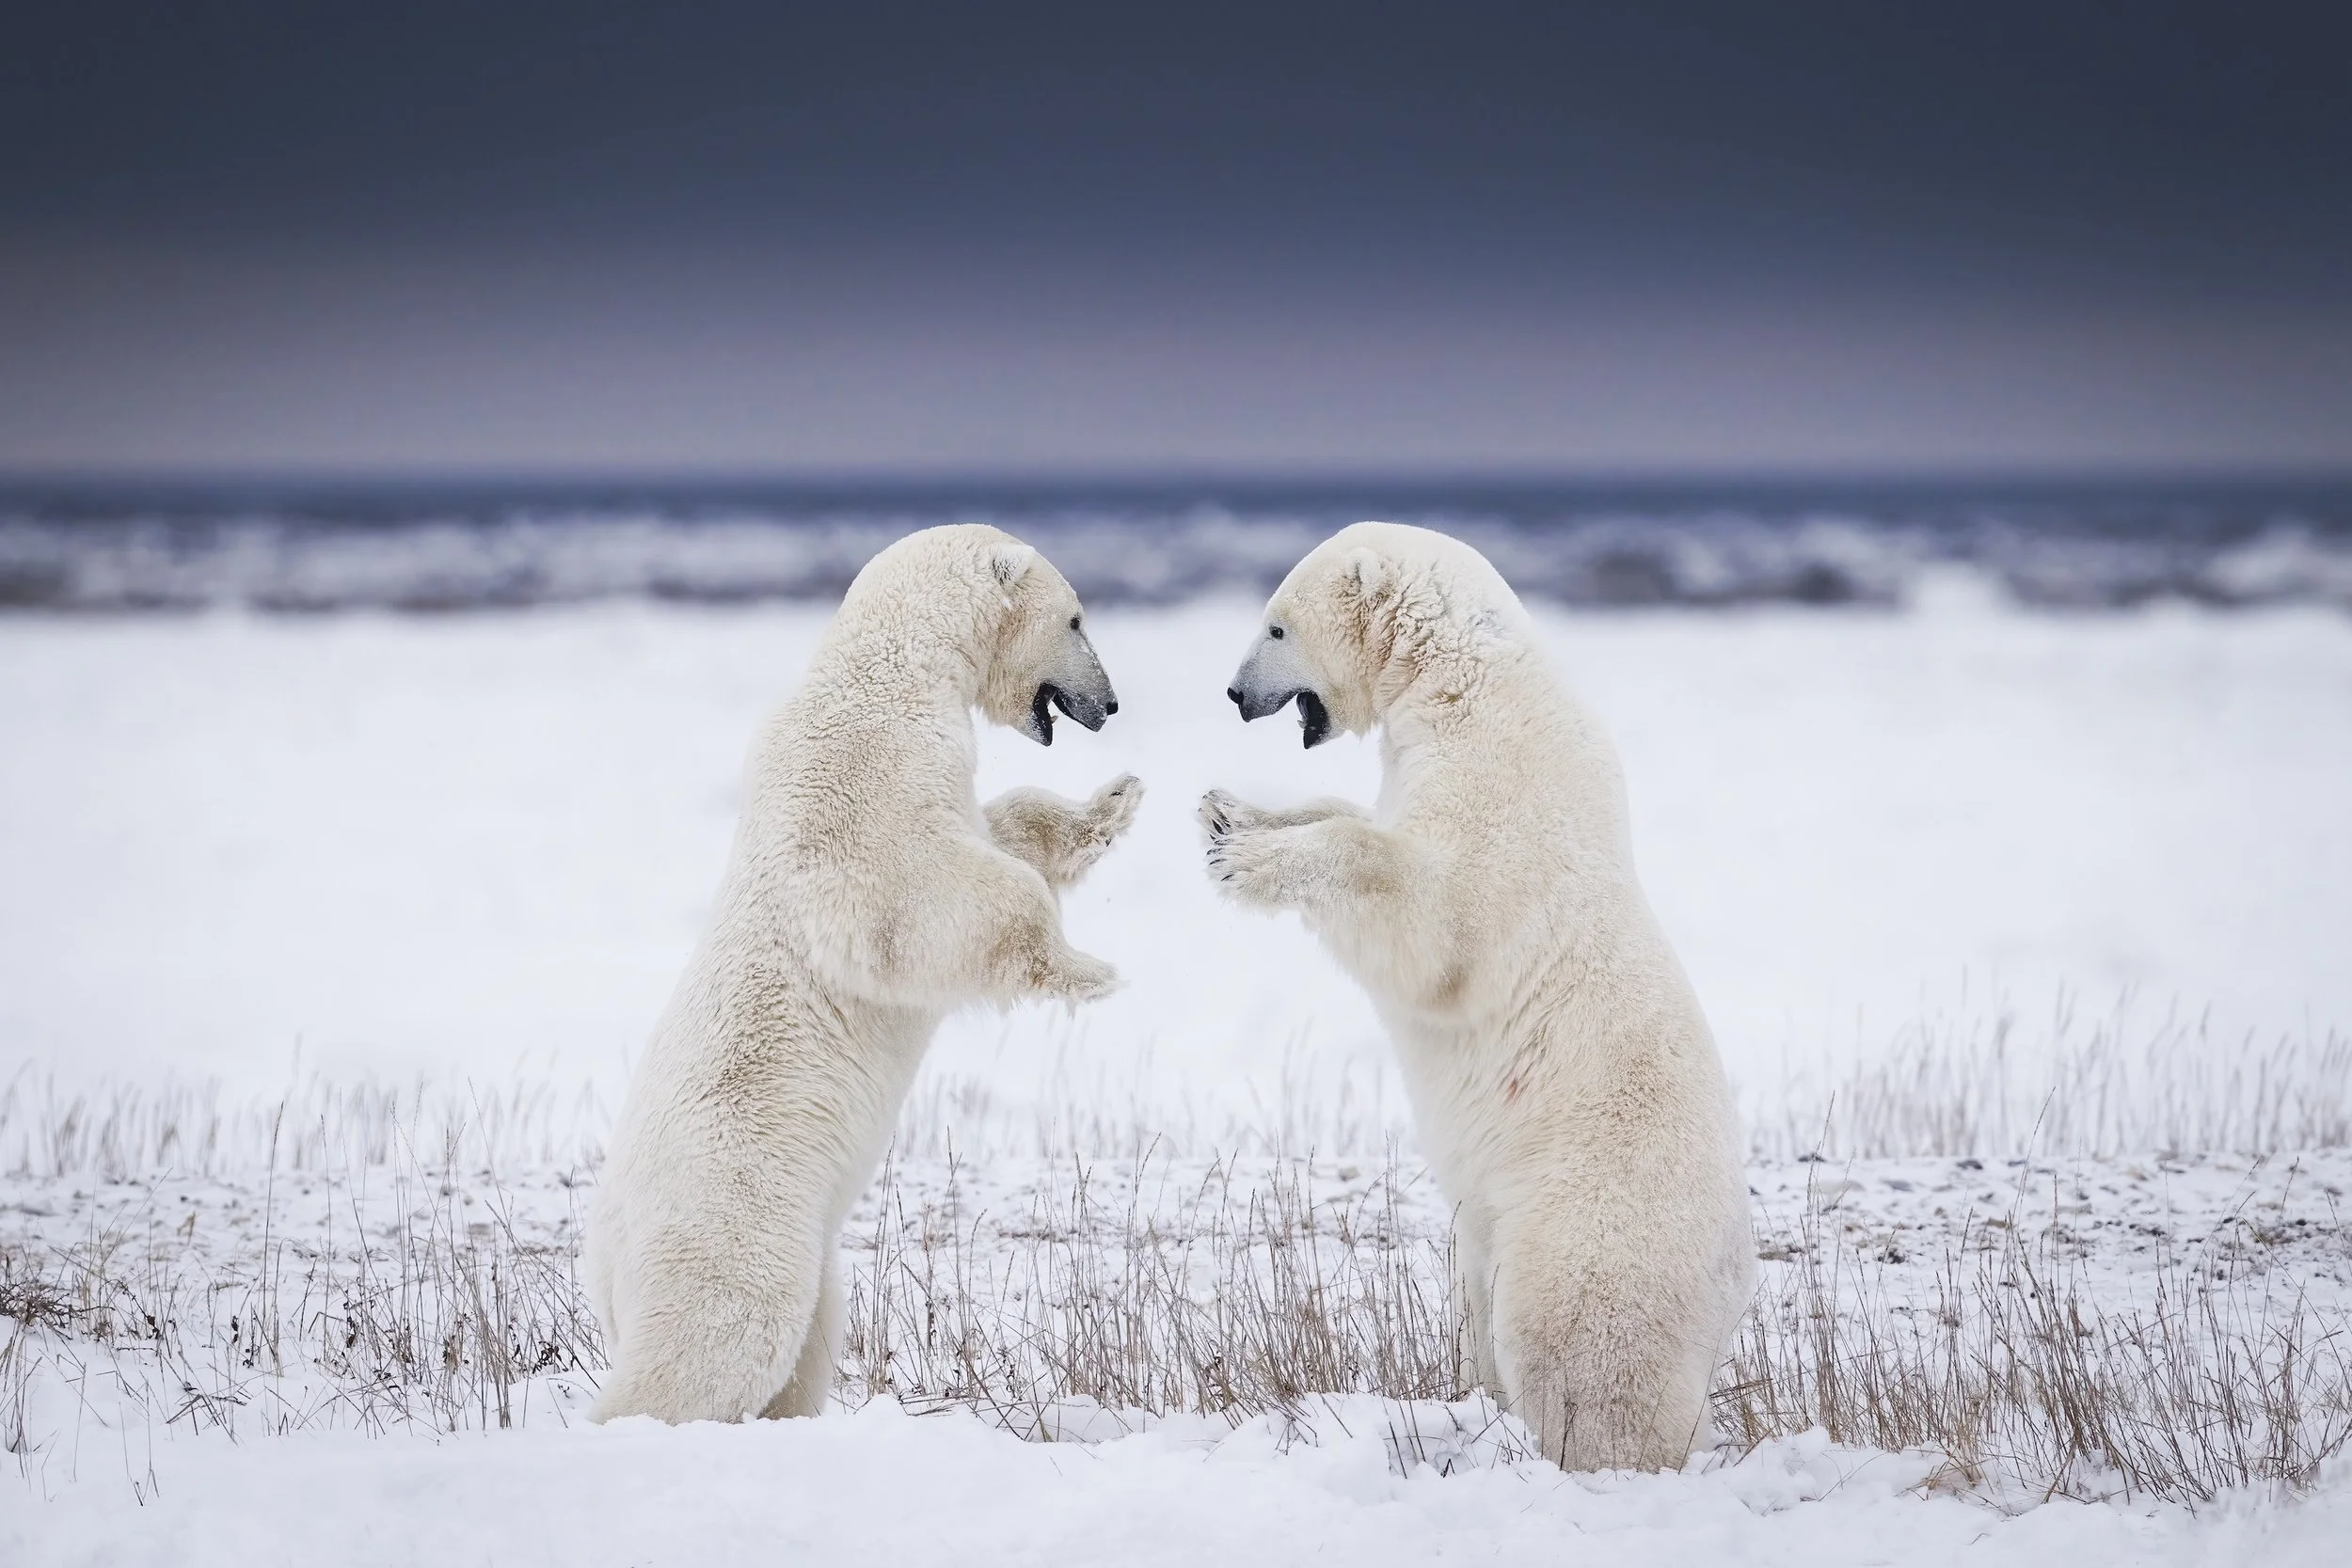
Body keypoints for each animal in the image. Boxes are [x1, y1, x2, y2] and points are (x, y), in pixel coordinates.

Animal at [586, 523, 1141, 1424]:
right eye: (1076, 618)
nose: (1111, 703)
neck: (889, 669)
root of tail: (604, 1257)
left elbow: (1001, 828)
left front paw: (1113, 803)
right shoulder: (862, 774)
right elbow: (923, 890)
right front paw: (1088, 968)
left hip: (799, 1247)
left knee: (805, 1341)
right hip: (734, 1214)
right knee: (722, 1336)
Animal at [1197, 521, 1753, 1472]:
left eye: (1275, 626)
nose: (1235, 693)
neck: (1462, 677)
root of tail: (1734, 1285)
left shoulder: (1499, 783)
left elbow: (1428, 912)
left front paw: (1243, 853)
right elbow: (1356, 811)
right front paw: (1227, 809)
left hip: (1591, 1213)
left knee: (1572, 1338)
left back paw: (1578, 1451)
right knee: (1478, 1298)